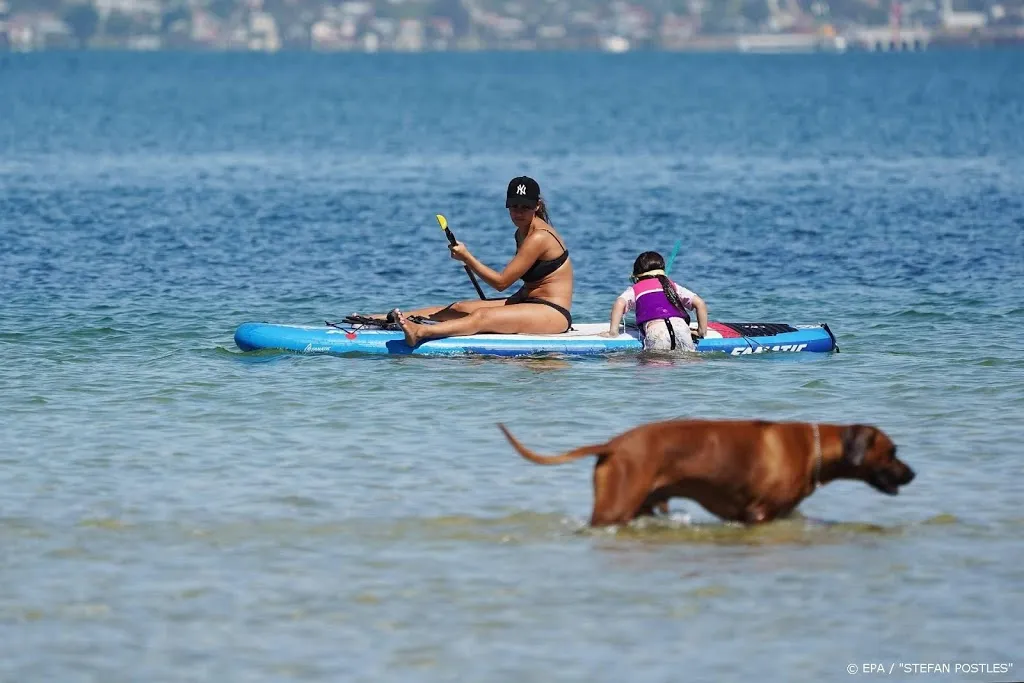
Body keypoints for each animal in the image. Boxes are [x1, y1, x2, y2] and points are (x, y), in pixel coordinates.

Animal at [495, 417, 913, 528]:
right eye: (893, 452)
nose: (913, 474)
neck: (814, 447)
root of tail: (612, 443)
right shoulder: (758, 516)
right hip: (615, 507)